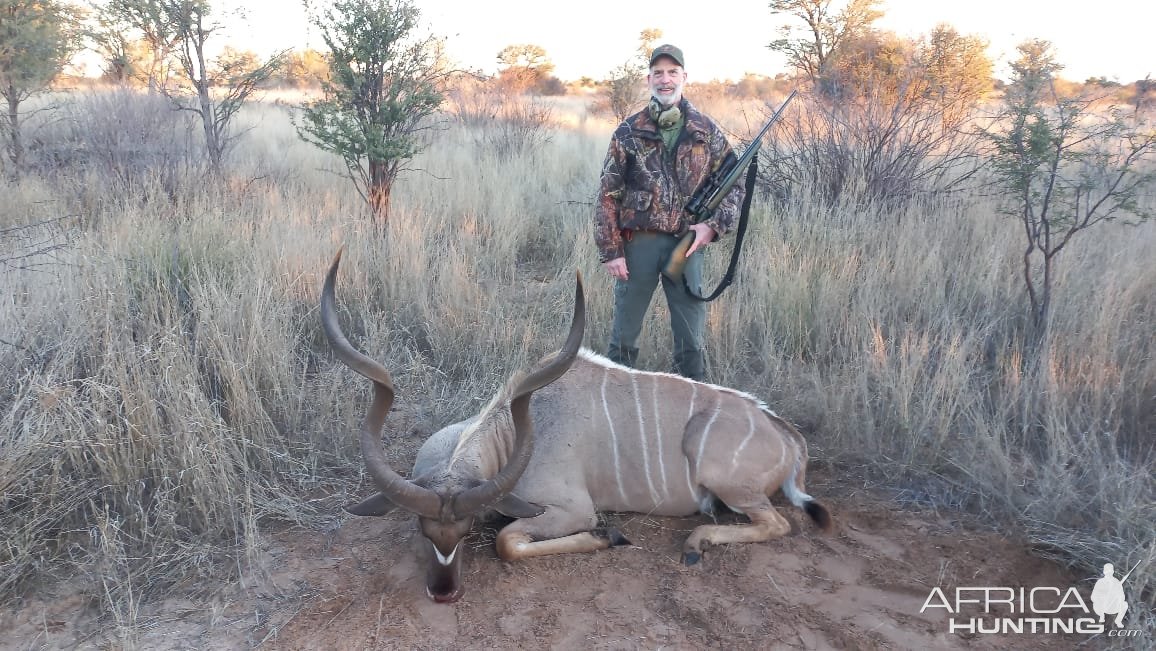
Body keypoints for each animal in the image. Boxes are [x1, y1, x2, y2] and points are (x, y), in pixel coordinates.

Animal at [321, 249, 836, 601]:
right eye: (425, 531)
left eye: (465, 533)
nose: (444, 592)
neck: (516, 434)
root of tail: (786, 435)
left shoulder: (572, 509)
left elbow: (508, 540)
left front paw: (609, 536)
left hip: (724, 478)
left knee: (776, 523)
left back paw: (696, 542)